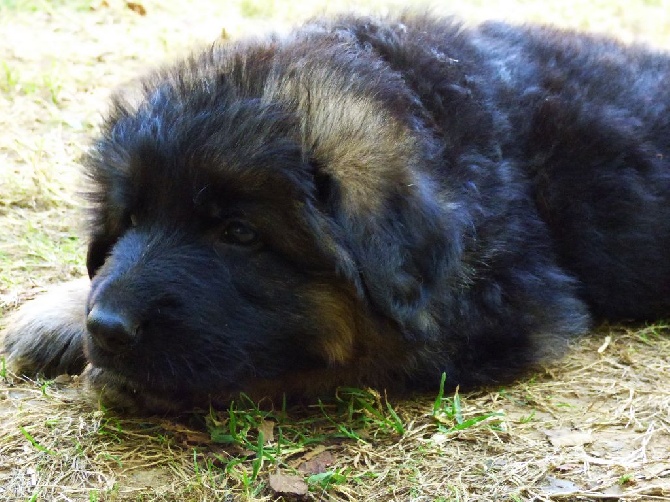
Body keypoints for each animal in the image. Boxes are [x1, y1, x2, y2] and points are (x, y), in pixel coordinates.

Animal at [1, 14, 670, 412]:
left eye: (239, 233)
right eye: (132, 220)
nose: (108, 328)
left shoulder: (505, 312)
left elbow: (324, 363)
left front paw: (137, 378)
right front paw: (61, 313)